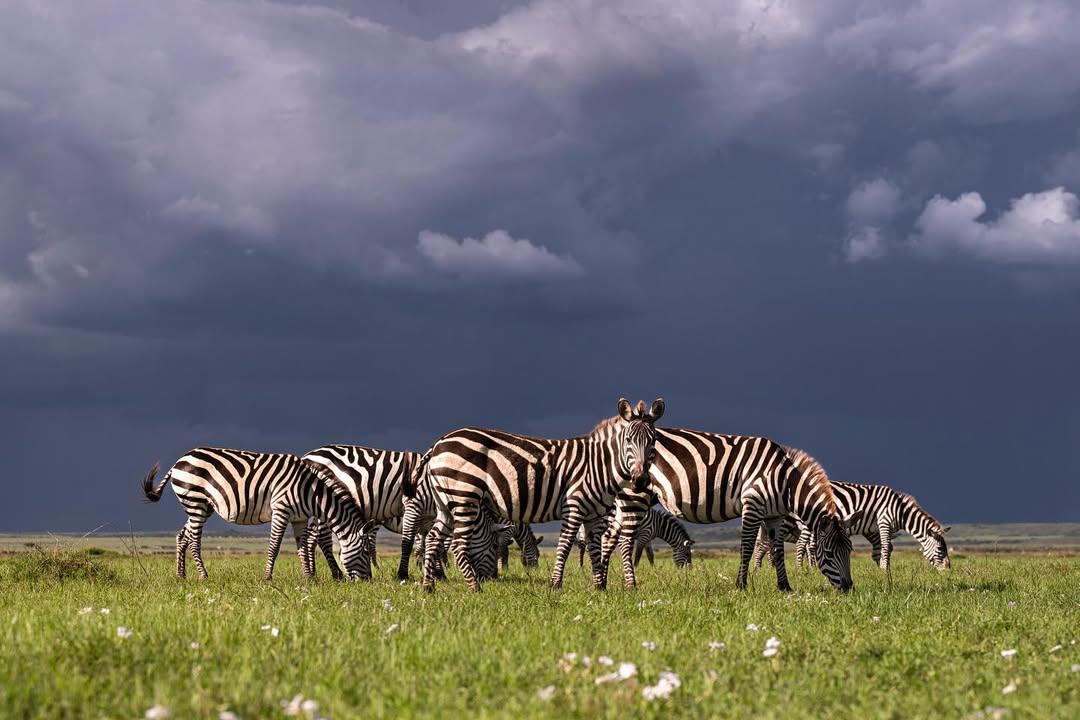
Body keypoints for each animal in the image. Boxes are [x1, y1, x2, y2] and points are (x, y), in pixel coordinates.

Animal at [140, 448, 375, 581]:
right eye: (365, 552)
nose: (368, 583)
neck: (311, 492)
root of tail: (179, 461)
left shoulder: (299, 518)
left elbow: (301, 547)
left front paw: (309, 579)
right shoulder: (281, 509)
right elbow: (274, 546)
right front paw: (267, 578)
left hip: (202, 506)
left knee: (183, 536)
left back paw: (181, 576)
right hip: (196, 502)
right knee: (194, 541)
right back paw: (203, 576)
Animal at [413, 398, 665, 592]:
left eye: (653, 441)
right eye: (628, 440)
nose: (640, 480)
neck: (599, 465)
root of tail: (439, 443)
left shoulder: (594, 515)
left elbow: (595, 548)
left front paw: (600, 587)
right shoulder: (574, 506)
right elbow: (565, 544)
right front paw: (556, 585)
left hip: (445, 502)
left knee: (433, 537)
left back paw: (428, 586)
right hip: (464, 496)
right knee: (457, 544)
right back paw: (474, 587)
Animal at [602, 439, 861, 592]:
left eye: (849, 550)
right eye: (829, 553)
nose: (849, 588)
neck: (784, 480)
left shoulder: (775, 516)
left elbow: (777, 551)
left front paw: (784, 587)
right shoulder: (753, 504)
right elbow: (747, 547)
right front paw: (741, 586)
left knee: (608, 538)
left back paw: (601, 583)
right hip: (635, 496)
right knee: (624, 541)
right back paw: (631, 585)